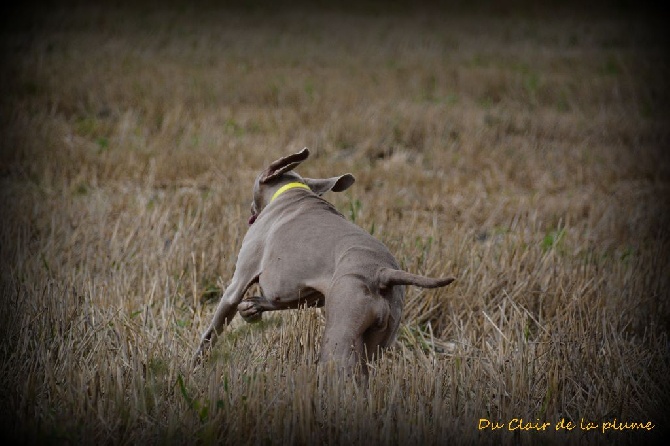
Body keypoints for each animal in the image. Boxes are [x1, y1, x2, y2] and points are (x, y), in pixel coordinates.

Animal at [196, 148, 456, 374]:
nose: (250, 211)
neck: (292, 193)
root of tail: (382, 273)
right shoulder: (308, 295)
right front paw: (251, 309)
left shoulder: (238, 282)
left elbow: (212, 330)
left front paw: (195, 365)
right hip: (376, 343)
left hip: (340, 334)